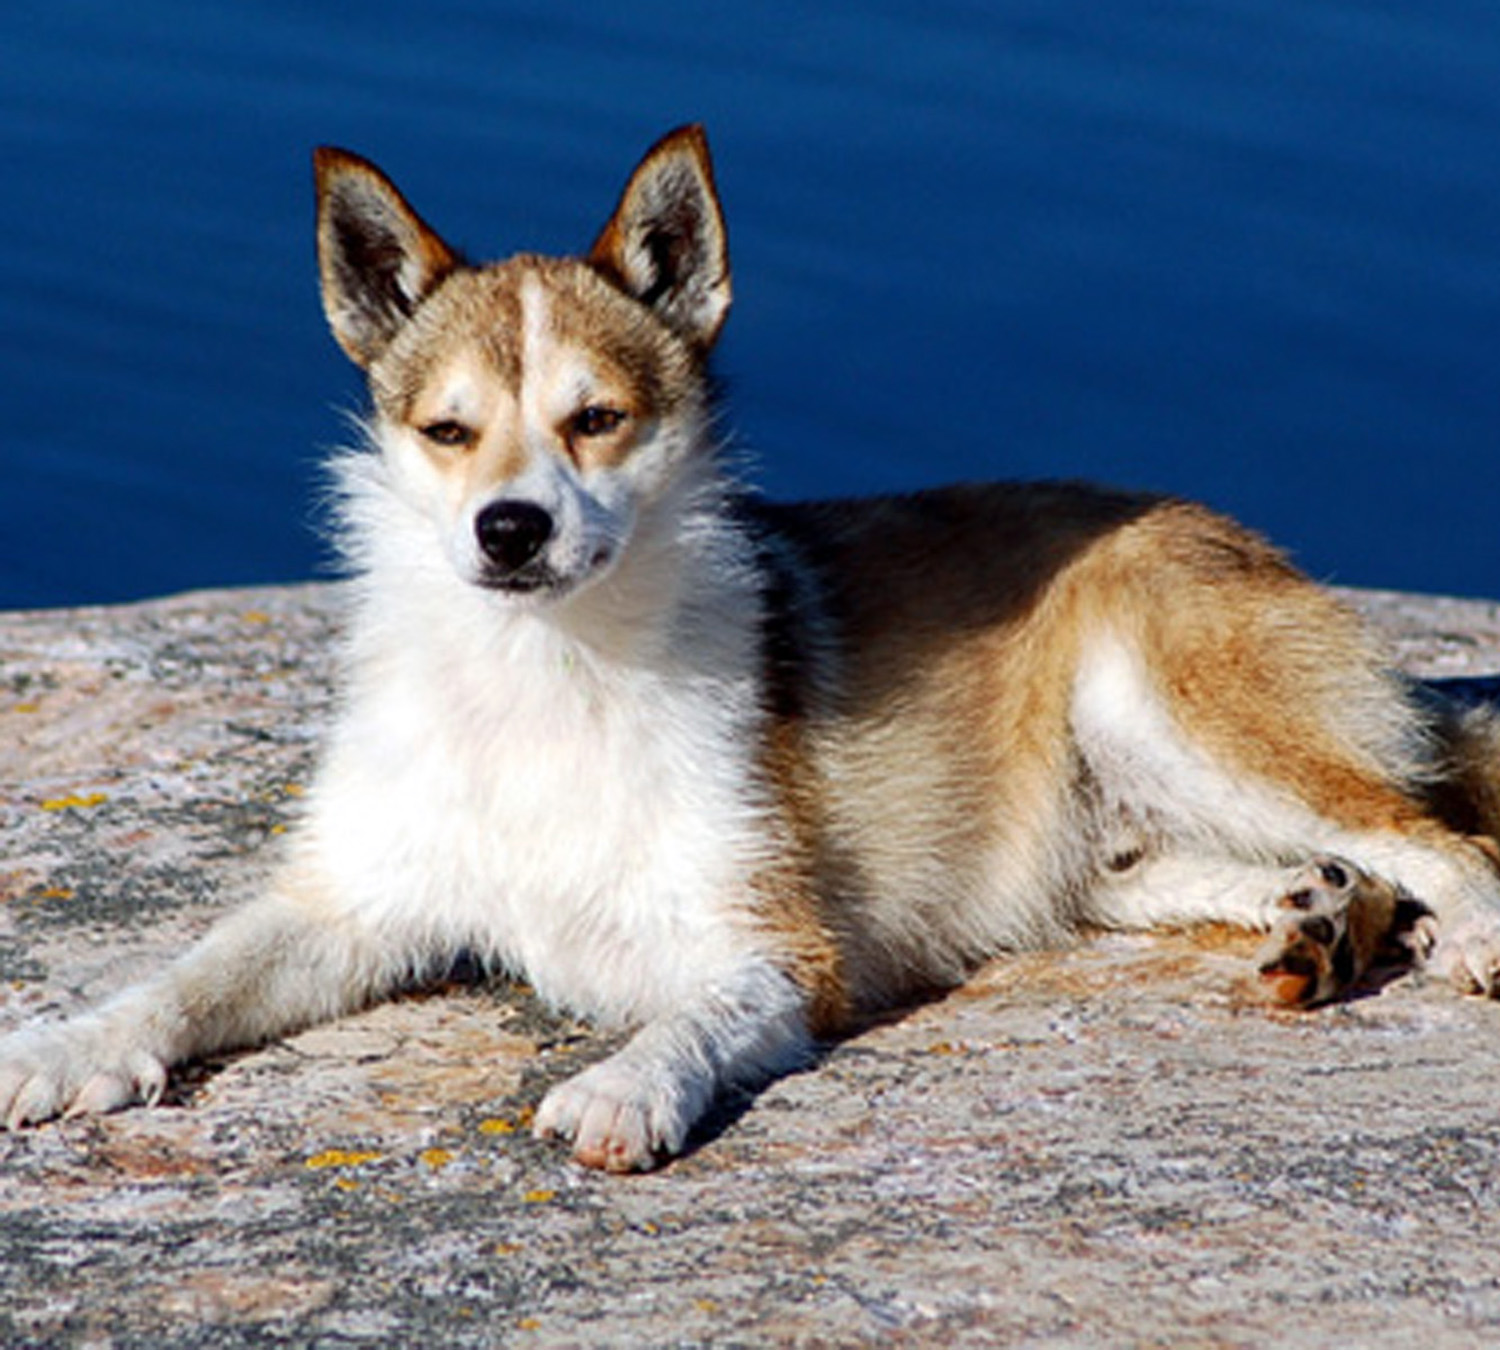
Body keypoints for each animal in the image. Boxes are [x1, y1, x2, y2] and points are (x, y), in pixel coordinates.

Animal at [2, 126, 1500, 1170]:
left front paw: (623, 1085)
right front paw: (77, 1042)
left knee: (1438, 837)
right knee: (1313, 860)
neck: (546, 674)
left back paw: (1451, 935)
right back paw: (1315, 924)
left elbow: (692, 1018)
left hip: (1163, 707)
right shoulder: (352, 906)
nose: (508, 528)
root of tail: (1247, 539)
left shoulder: (778, 952)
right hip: (1108, 848)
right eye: (447, 430)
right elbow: (187, 976)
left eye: (597, 418)